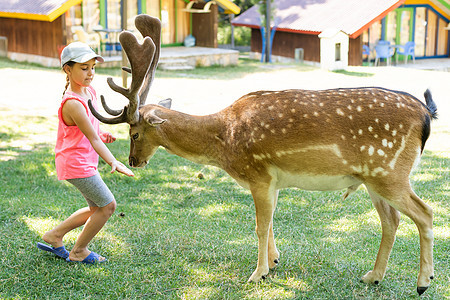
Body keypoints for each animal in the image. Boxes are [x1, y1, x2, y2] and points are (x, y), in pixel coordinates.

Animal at [89, 14, 438, 296]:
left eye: (134, 134)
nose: (134, 161)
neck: (224, 143)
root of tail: (426, 115)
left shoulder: (258, 173)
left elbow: (258, 226)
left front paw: (257, 274)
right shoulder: (272, 181)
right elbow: (269, 223)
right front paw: (273, 262)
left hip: (391, 172)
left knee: (425, 212)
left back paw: (423, 282)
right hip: (373, 179)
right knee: (391, 220)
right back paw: (372, 276)